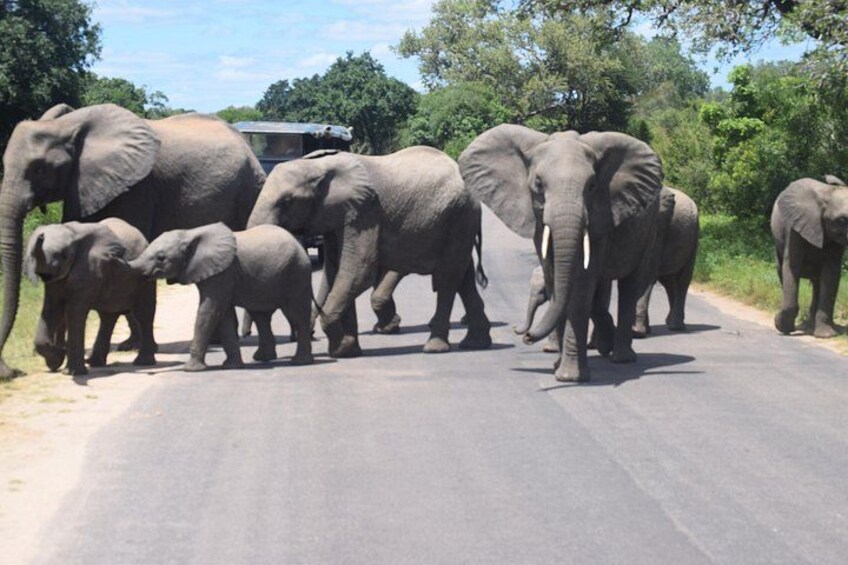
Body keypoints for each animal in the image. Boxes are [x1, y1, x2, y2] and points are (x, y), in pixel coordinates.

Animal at [25, 218, 156, 375]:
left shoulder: (89, 267)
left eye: (63, 255)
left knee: (143, 313)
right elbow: (51, 308)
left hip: (144, 276)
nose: (41, 236)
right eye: (33, 254)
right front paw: (56, 360)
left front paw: (72, 372)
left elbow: (75, 311)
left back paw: (142, 362)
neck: (71, 232)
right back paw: (95, 363)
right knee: (107, 316)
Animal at [129, 223, 313, 371]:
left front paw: (191, 370)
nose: (151, 371)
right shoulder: (220, 275)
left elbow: (209, 311)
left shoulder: (222, 274)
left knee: (298, 314)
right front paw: (231, 366)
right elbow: (223, 316)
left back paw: (300, 362)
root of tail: (298, 242)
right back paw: (263, 358)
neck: (189, 234)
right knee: (261, 317)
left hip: (297, 272)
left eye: (161, 258)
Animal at [247, 147, 492, 358]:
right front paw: (348, 351)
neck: (319, 166)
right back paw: (475, 343)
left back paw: (434, 348)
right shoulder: (339, 216)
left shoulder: (365, 212)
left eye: (287, 202)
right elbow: (337, 272)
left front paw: (340, 349)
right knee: (464, 278)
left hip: (460, 216)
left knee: (447, 279)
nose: (309, 332)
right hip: (458, 221)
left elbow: (358, 271)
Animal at [459, 125, 663, 382]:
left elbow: (580, 288)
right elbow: (555, 277)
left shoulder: (600, 216)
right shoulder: (538, 220)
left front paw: (569, 377)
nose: (525, 336)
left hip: (650, 228)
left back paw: (621, 358)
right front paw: (558, 367)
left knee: (630, 287)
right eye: (538, 183)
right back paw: (605, 347)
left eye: (592, 185)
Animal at [770, 176, 848, 338]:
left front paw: (826, 335)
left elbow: (830, 274)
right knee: (781, 270)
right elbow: (791, 267)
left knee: (819, 283)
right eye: (842, 220)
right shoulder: (794, 229)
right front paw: (782, 327)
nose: (775, 318)